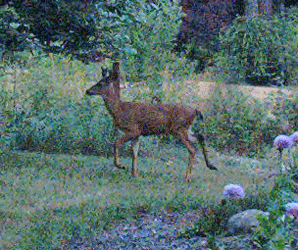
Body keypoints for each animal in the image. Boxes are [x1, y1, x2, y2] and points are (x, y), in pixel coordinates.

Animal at [86, 61, 217, 182]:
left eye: (100, 83)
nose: (87, 91)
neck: (119, 110)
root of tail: (195, 110)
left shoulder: (133, 129)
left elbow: (116, 143)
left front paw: (121, 166)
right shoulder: (138, 133)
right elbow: (134, 152)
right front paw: (134, 174)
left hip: (179, 129)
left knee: (192, 149)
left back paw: (187, 177)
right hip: (185, 129)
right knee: (200, 137)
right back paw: (210, 166)